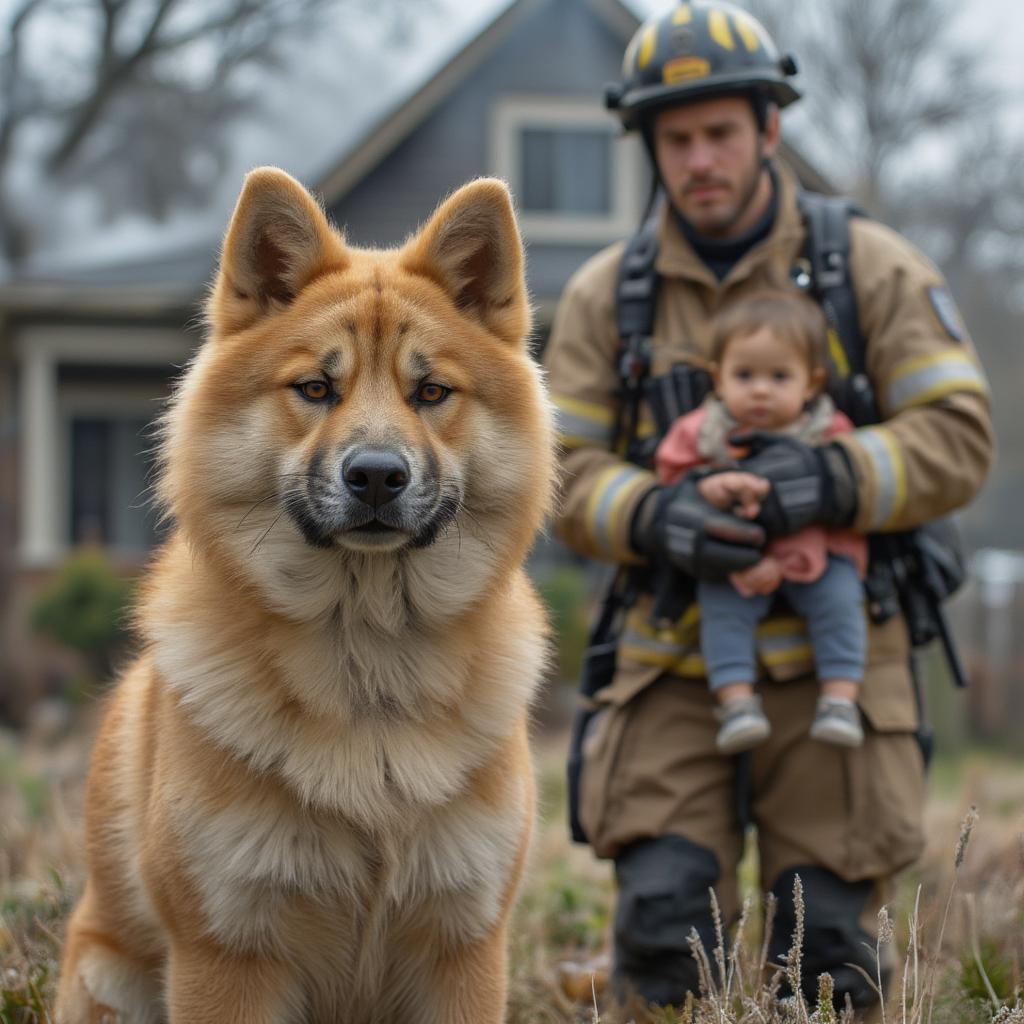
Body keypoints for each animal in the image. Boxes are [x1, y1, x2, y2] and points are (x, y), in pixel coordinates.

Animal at [54, 169, 552, 1024]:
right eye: (316, 388)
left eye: (431, 392)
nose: (377, 475)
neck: (369, 662)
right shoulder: (228, 954)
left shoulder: (464, 947)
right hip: (107, 977)